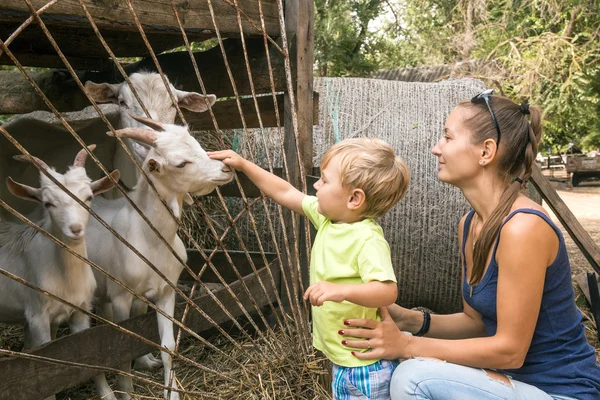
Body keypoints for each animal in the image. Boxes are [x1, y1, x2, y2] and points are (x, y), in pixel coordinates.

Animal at [0, 147, 120, 400]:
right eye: (48, 203)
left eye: (89, 197)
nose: (75, 229)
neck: (66, 277)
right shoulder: (37, 317)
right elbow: (46, 368)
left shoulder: (81, 310)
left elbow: (92, 354)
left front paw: (107, 394)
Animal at [86, 115, 232, 400]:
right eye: (181, 163)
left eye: (197, 144)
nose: (225, 168)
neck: (151, 239)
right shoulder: (122, 296)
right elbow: (121, 349)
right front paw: (126, 392)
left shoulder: (166, 290)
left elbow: (168, 346)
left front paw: (172, 392)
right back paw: (106, 391)